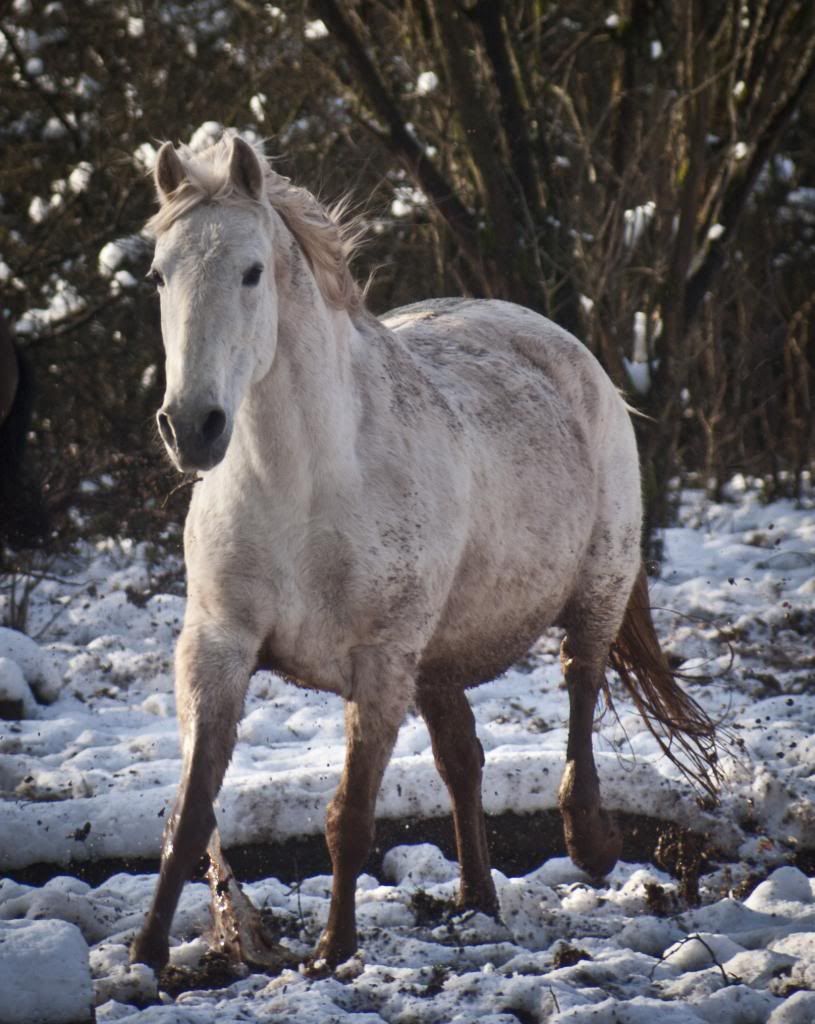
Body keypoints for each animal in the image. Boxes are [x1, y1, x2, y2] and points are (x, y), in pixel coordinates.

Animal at [130, 132, 716, 970]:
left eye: (251, 270)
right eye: (158, 274)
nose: (192, 426)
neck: (304, 486)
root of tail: (564, 346)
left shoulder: (379, 663)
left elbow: (349, 818)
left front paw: (334, 949)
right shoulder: (215, 647)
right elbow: (190, 815)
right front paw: (147, 954)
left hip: (593, 593)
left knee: (578, 689)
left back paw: (589, 840)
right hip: (436, 659)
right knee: (462, 760)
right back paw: (475, 895)